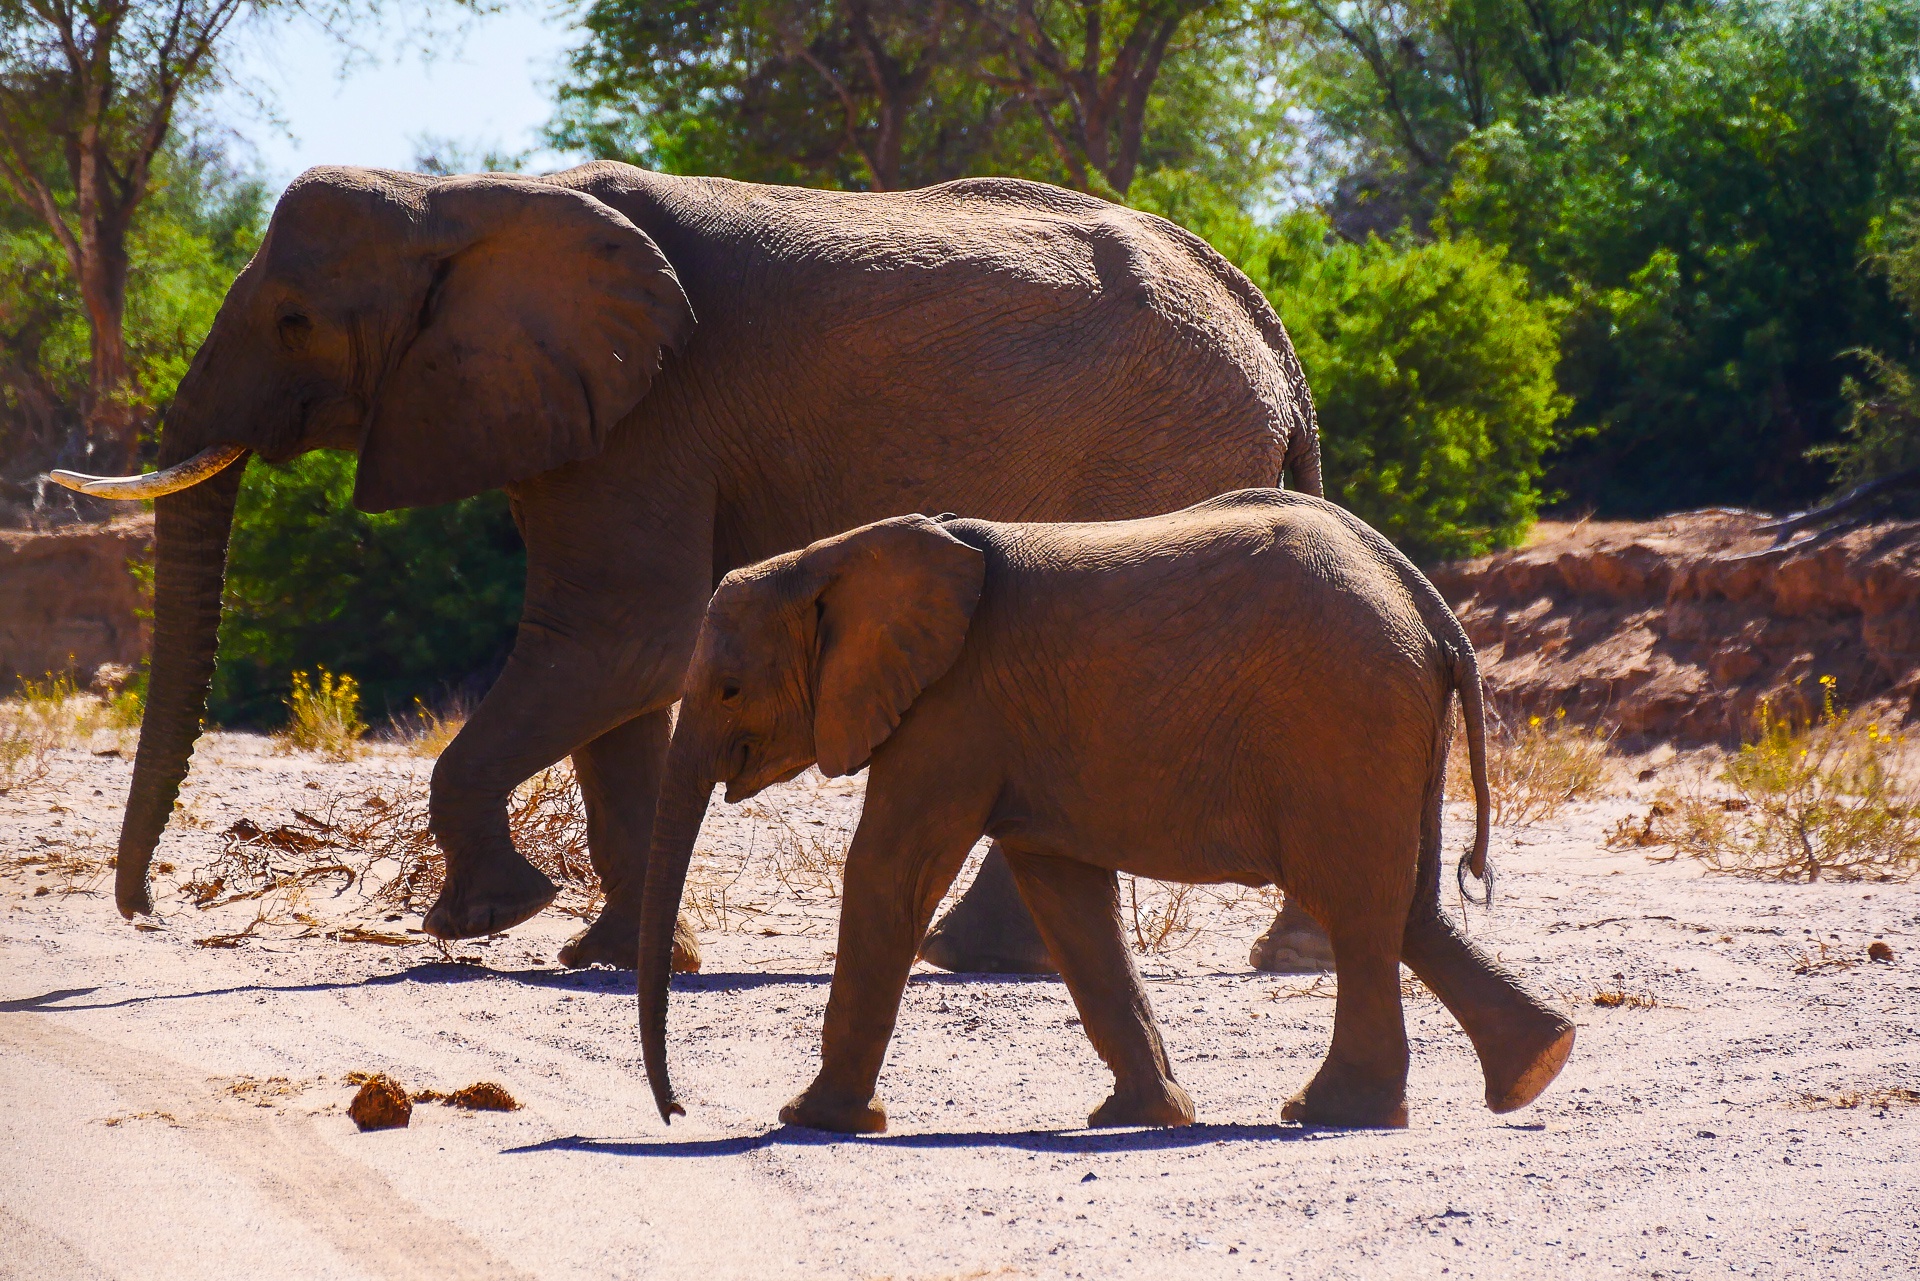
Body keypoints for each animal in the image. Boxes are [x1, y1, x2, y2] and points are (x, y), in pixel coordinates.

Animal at [52, 165, 1328, 975]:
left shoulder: (650, 412)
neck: (461, 199)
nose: (147, 914)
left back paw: (981, 958)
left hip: (1154, 455)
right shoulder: (591, 410)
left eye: (296, 321)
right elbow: (624, 682)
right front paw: (610, 955)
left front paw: (481, 919)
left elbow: (621, 640)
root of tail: (1268, 326)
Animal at [641, 491, 1574, 1129]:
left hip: (1345, 714)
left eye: (730, 690)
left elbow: (888, 871)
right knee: (1401, 906)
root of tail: (1431, 606)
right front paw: (1144, 1117)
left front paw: (809, 1120)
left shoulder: (952, 708)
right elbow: (1067, 894)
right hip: (1381, 729)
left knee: (1358, 903)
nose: (678, 1112)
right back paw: (1533, 1069)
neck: (837, 555)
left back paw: (1332, 1111)